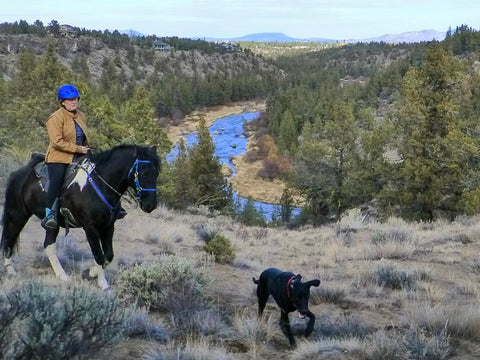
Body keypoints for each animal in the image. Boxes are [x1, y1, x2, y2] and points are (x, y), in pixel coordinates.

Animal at [0, 145, 161, 288]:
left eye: (156, 174)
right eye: (143, 172)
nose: (150, 205)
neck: (99, 185)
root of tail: (18, 173)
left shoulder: (108, 226)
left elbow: (108, 255)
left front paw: (91, 273)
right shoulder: (90, 228)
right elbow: (99, 255)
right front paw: (103, 283)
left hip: (52, 224)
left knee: (48, 245)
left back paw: (63, 276)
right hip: (17, 215)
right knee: (9, 239)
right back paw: (11, 271)